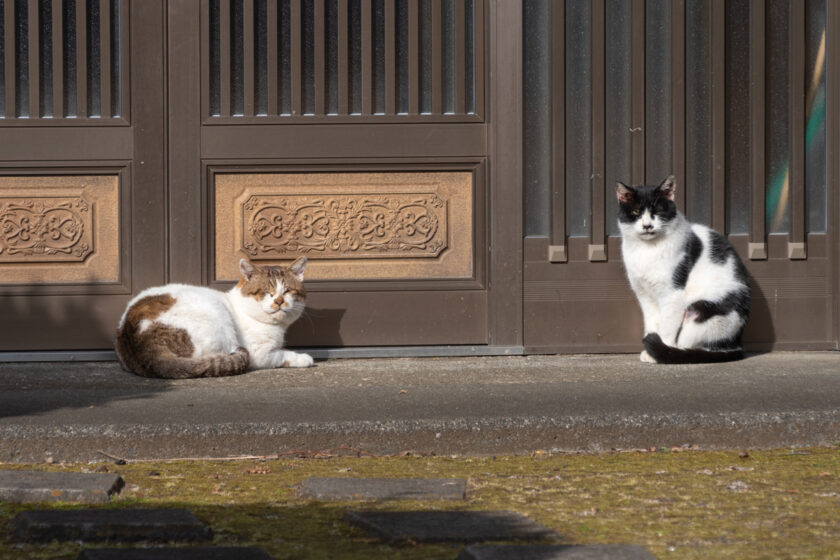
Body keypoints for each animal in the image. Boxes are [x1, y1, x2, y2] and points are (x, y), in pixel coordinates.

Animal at [612, 177, 752, 366]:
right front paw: (649, 350)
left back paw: (671, 353)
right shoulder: (644, 295)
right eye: (636, 212)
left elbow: (667, 327)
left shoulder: (673, 294)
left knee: (692, 346)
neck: (648, 250)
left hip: (699, 312)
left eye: (658, 210)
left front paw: (658, 351)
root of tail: (736, 342)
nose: (647, 225)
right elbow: (652, 322)